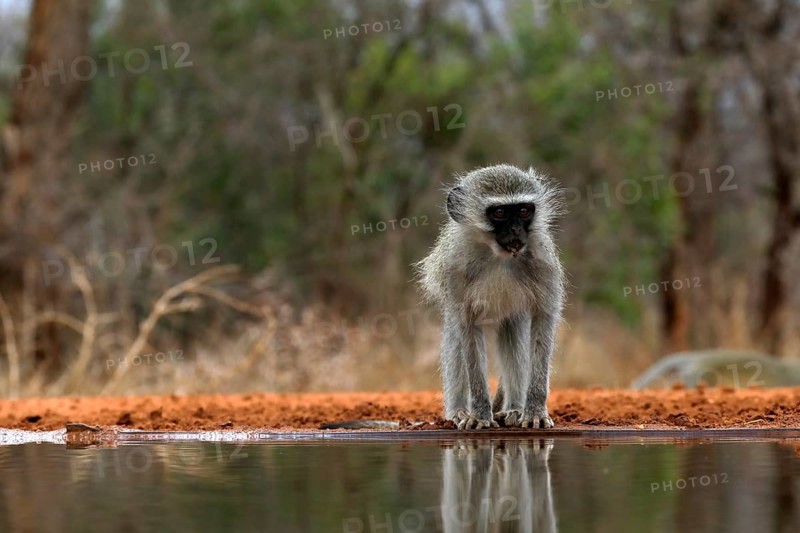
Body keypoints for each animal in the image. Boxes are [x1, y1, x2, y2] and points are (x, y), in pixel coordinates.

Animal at [415, 164, 566, 430]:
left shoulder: (543, 263)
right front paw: (479, 414)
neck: (499, 257)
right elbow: (467, 331)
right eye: (500, 213)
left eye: (524, 210)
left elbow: (544, 321)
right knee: (455, 340)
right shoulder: (455, 271)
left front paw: (535, 410)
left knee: (513, 334)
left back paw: (514, 409)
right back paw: (459, 411)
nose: (516, 231)